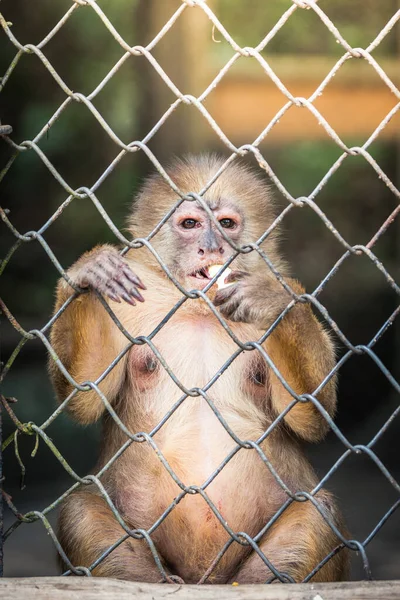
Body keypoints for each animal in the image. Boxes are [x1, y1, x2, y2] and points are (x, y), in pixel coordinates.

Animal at [47, 154, 350, 580]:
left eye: (226, 223)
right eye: (190, 224)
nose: (212, 247)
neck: (198, 306)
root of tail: (203, 578)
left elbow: (310, 415)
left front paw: (275, 299)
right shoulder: (127, 306)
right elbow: (85, 397)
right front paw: (88, 274)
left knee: (317, 510)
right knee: (80, 513)